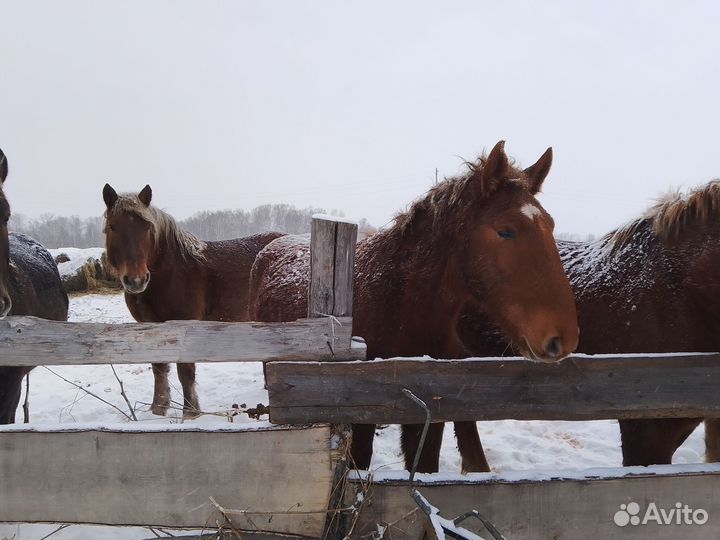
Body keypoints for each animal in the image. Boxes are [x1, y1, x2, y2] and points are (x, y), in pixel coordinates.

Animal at [102, 185, 282, 418]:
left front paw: (190, 412)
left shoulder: (185, 323)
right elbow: (159, 367)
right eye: (113, 227)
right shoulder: (150, 325)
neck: (171, 272)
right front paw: (158, 408)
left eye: (147, 227)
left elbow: (185, 371)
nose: (136, 280)